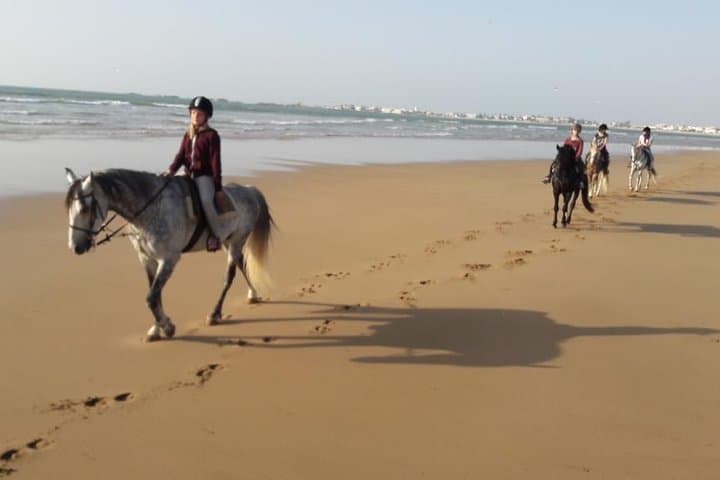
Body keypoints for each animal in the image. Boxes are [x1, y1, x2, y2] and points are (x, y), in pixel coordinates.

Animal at [65, 168, 274, 341]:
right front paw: (156, 329)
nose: (75, 247)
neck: (151, 210)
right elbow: (155, 296)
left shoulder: (168, 260)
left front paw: (167, 327)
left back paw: (215, 314)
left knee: (229, 277)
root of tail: (249, 190)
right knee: (241, 264)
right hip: (227, 242)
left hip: (237, 240)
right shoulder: (147, 259)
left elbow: (151, 298)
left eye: (84, 209)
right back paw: (253, 294)